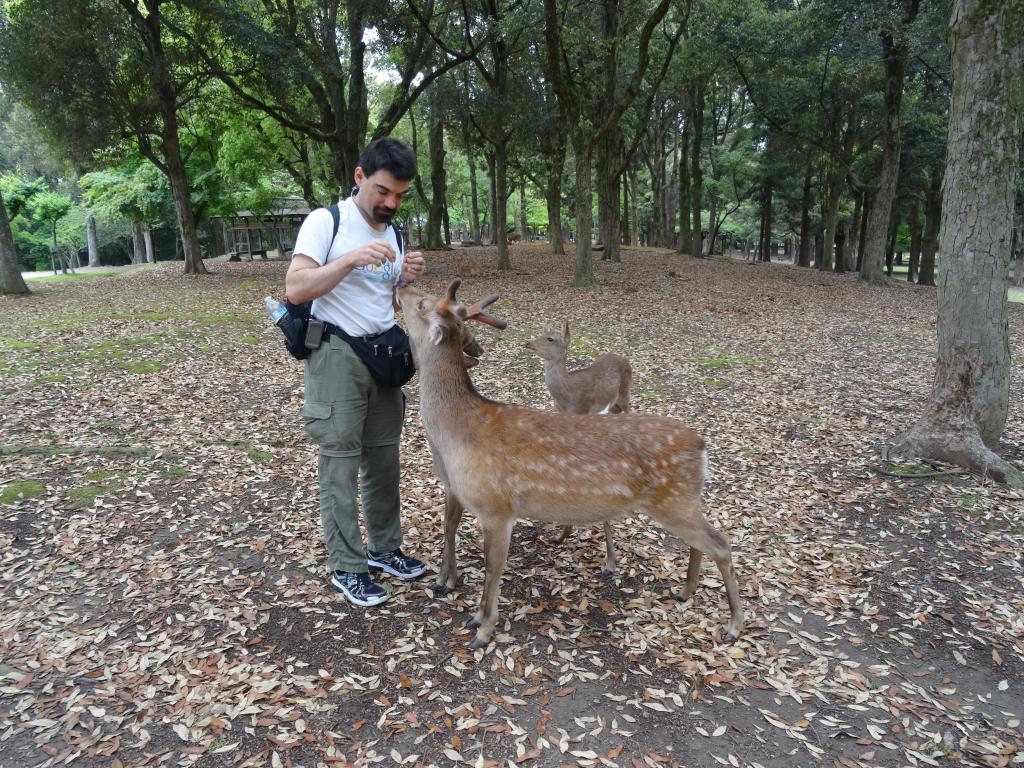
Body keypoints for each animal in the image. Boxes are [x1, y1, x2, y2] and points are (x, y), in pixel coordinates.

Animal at [528, 319, 630, 577]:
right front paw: (560, 536)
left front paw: (609, 563)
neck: (567, 399)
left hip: (626, 395)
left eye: (551, 339)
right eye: (542, 334)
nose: (528, 343)